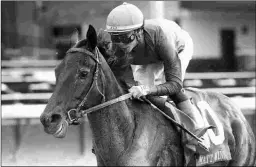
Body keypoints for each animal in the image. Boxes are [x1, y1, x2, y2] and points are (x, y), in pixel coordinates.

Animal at [40, 24, 254, 166]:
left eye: (83, 73)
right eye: (56, 71)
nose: (48, 119)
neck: (127, 135)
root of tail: (236, 111)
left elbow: (174, 83)